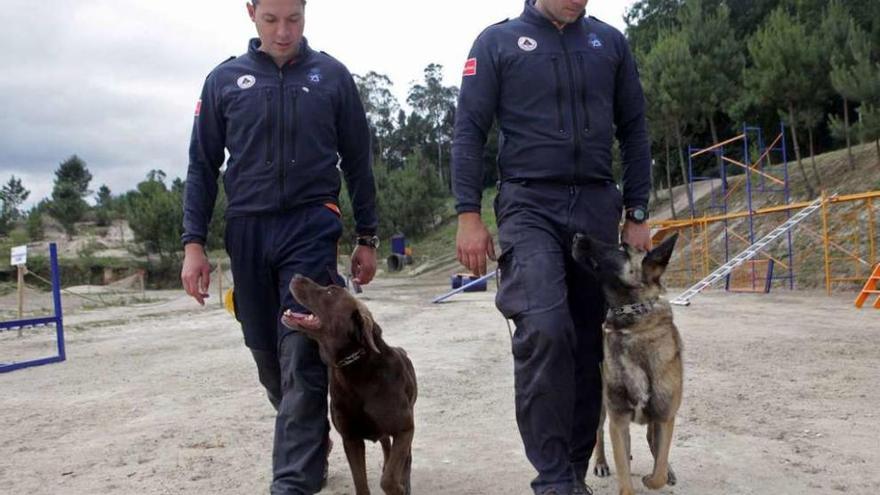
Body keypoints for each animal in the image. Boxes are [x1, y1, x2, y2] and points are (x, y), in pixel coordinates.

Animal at [284, 276, 418, 495]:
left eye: (331, 292)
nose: (296, 276)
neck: (355, 370)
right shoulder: (351, 439)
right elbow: (361, 483)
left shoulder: (404, 429)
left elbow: (389, 479)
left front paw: (399, 487)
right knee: (386, 444)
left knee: (405, 457)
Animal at [576, 233, 684, 495]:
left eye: (621, 248)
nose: (577, 235)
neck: (632, 326)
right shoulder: (618, 420)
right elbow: (624, 473)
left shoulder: (665, 417)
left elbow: (658, 471)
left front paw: (655, 476)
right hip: (602, 408)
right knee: (599, 434)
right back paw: (601, 463)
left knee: (652, 443)